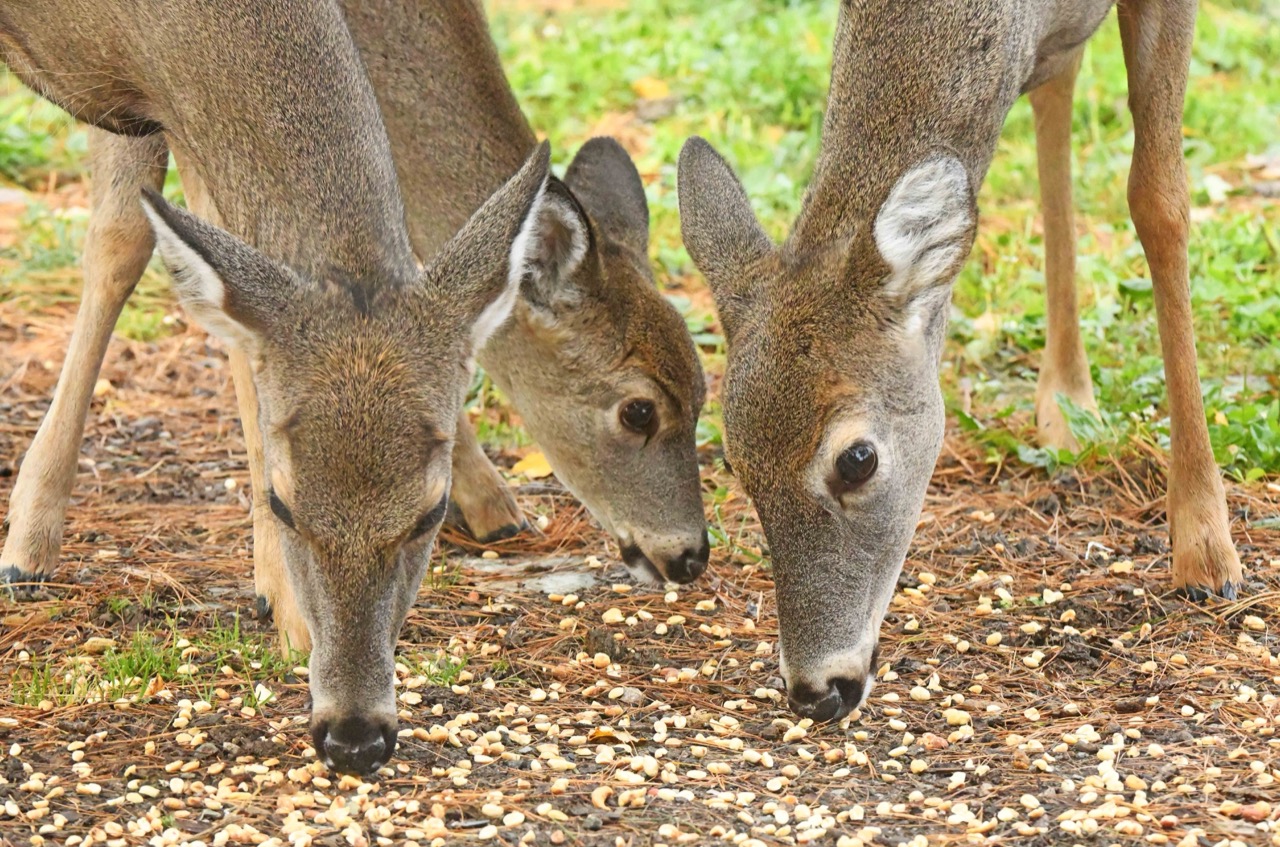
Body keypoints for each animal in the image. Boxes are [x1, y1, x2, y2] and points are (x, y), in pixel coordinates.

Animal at [0, 0, 590, 774]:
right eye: (284, 503)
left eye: (430, 513)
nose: (355, 738)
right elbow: (128, 244)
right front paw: (27, 543)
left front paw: (278, 604)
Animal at [678, 0, 1242, 724]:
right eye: (735, 464)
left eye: (857, 459)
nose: (816, 690)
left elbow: (1160, 199)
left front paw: (1206, 548)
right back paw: (1066, 402)